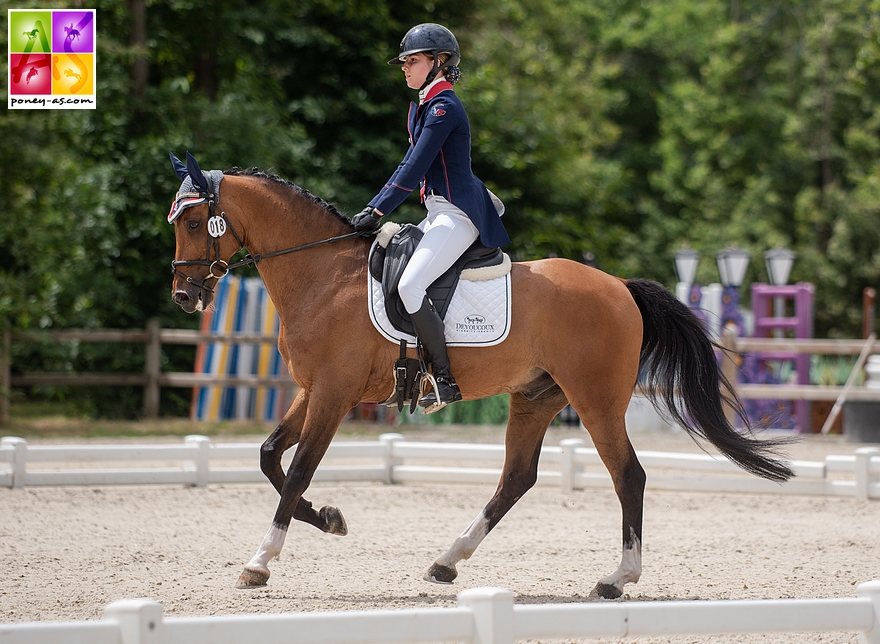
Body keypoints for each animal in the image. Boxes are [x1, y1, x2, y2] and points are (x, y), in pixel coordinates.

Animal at [168, 155, 796, 600]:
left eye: (196, 221)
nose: (184, 296)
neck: (322, 273)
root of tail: (618, 286)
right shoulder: (312, 390)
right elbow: (269, 458)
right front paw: (330, 519)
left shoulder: (334, 394)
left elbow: (296, 469)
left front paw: (259, 562)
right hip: (536, 398)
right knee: (516, 478)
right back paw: (447, 561)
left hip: (596, 401)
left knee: (628, 476)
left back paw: (616, 578)